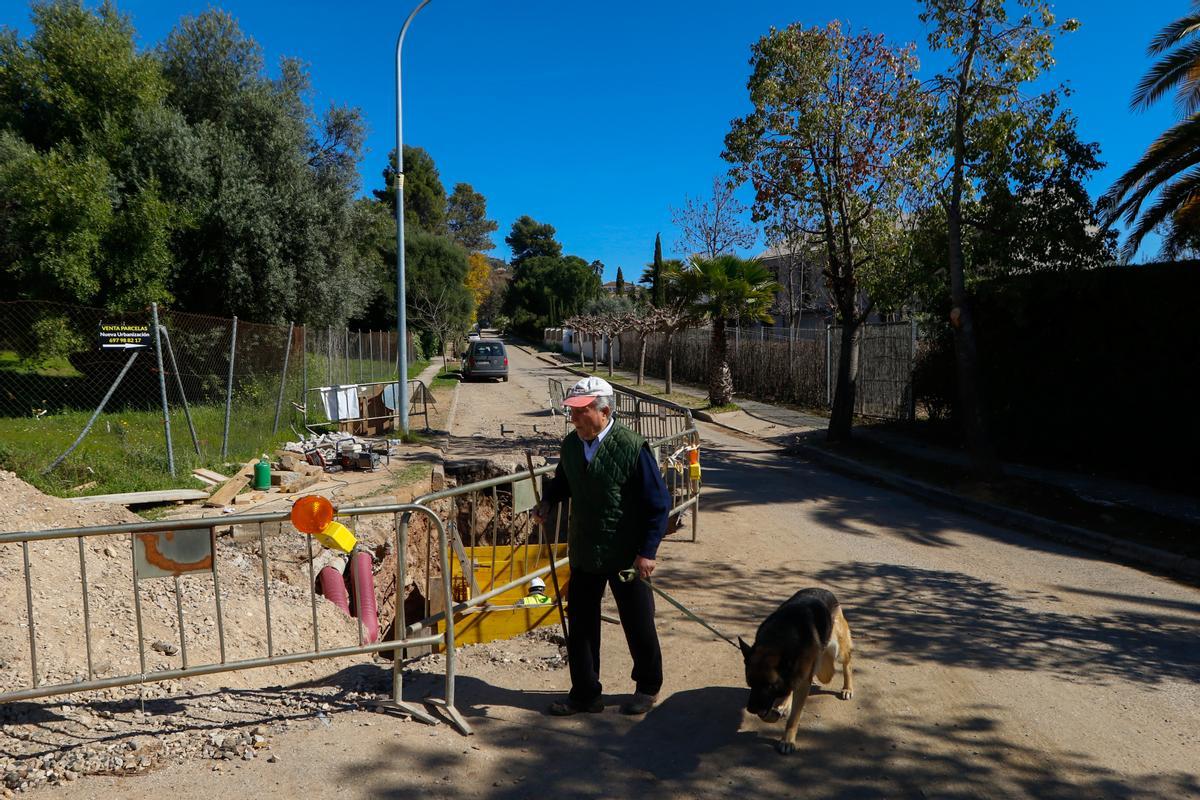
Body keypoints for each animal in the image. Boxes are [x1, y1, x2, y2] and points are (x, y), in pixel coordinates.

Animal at [739, 587, 854, 753]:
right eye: (750, 683)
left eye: (770, 686)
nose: (751, 709)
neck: (778, 638)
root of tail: (823, 589)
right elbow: (768, 709)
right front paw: (774, 714)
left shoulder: (803, 683)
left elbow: (794, 717)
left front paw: (787, 740)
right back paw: (784, 703)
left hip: (839, 651)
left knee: (847, 665)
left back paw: (847, 688)